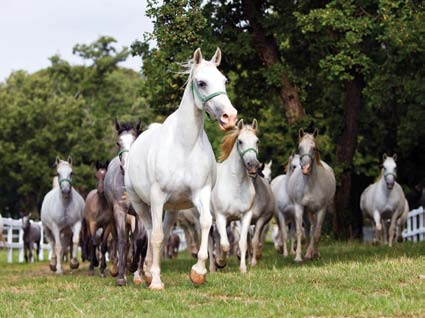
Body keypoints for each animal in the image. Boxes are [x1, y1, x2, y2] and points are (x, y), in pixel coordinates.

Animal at [125, 48, 238, 290]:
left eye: (224, 80)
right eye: (202, 83)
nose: (229, 117)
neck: (184, 146)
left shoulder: (201, 193)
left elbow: (205, 223)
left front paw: (199, 272)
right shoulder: (157, 197)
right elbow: (156, 236)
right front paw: (156, 281)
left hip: (172, 208)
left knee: (164, 232)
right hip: (141, 203)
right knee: (151, 232)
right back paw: (147, 272)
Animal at [288, 128, 334, 262]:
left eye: (314, 148)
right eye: (299, 147)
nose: (305, 169)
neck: (310, 185)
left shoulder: (321, 209)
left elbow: (317, 233)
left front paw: (315, 254)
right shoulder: (299, 207)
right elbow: (300, 231)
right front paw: (298, 257)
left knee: (314, 229)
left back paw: (313, 253)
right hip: (307, 211)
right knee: (309, 229)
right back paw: (308, 253)